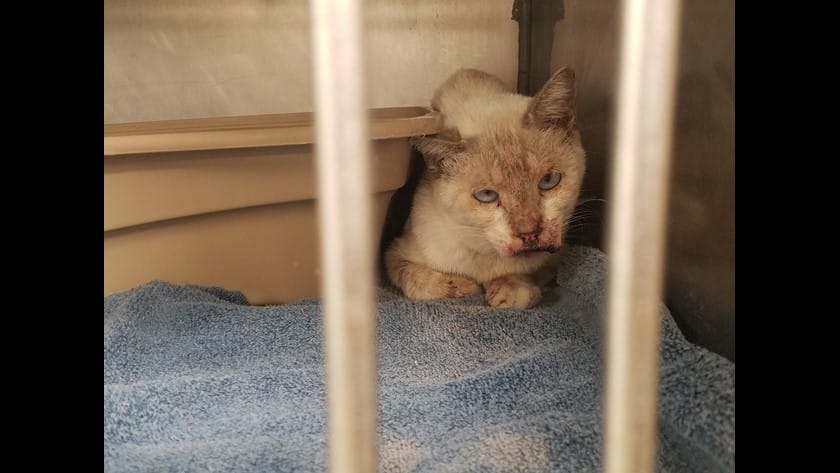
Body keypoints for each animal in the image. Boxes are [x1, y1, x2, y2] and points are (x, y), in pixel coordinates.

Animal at [384, 67, 586, 309]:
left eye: (548, 180)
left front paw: (511, 289)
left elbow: (530, 275)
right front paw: (459, 286)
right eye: (487, 195)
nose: (529, 233)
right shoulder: (395, 253)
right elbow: (418, 279)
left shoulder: (556, 256)